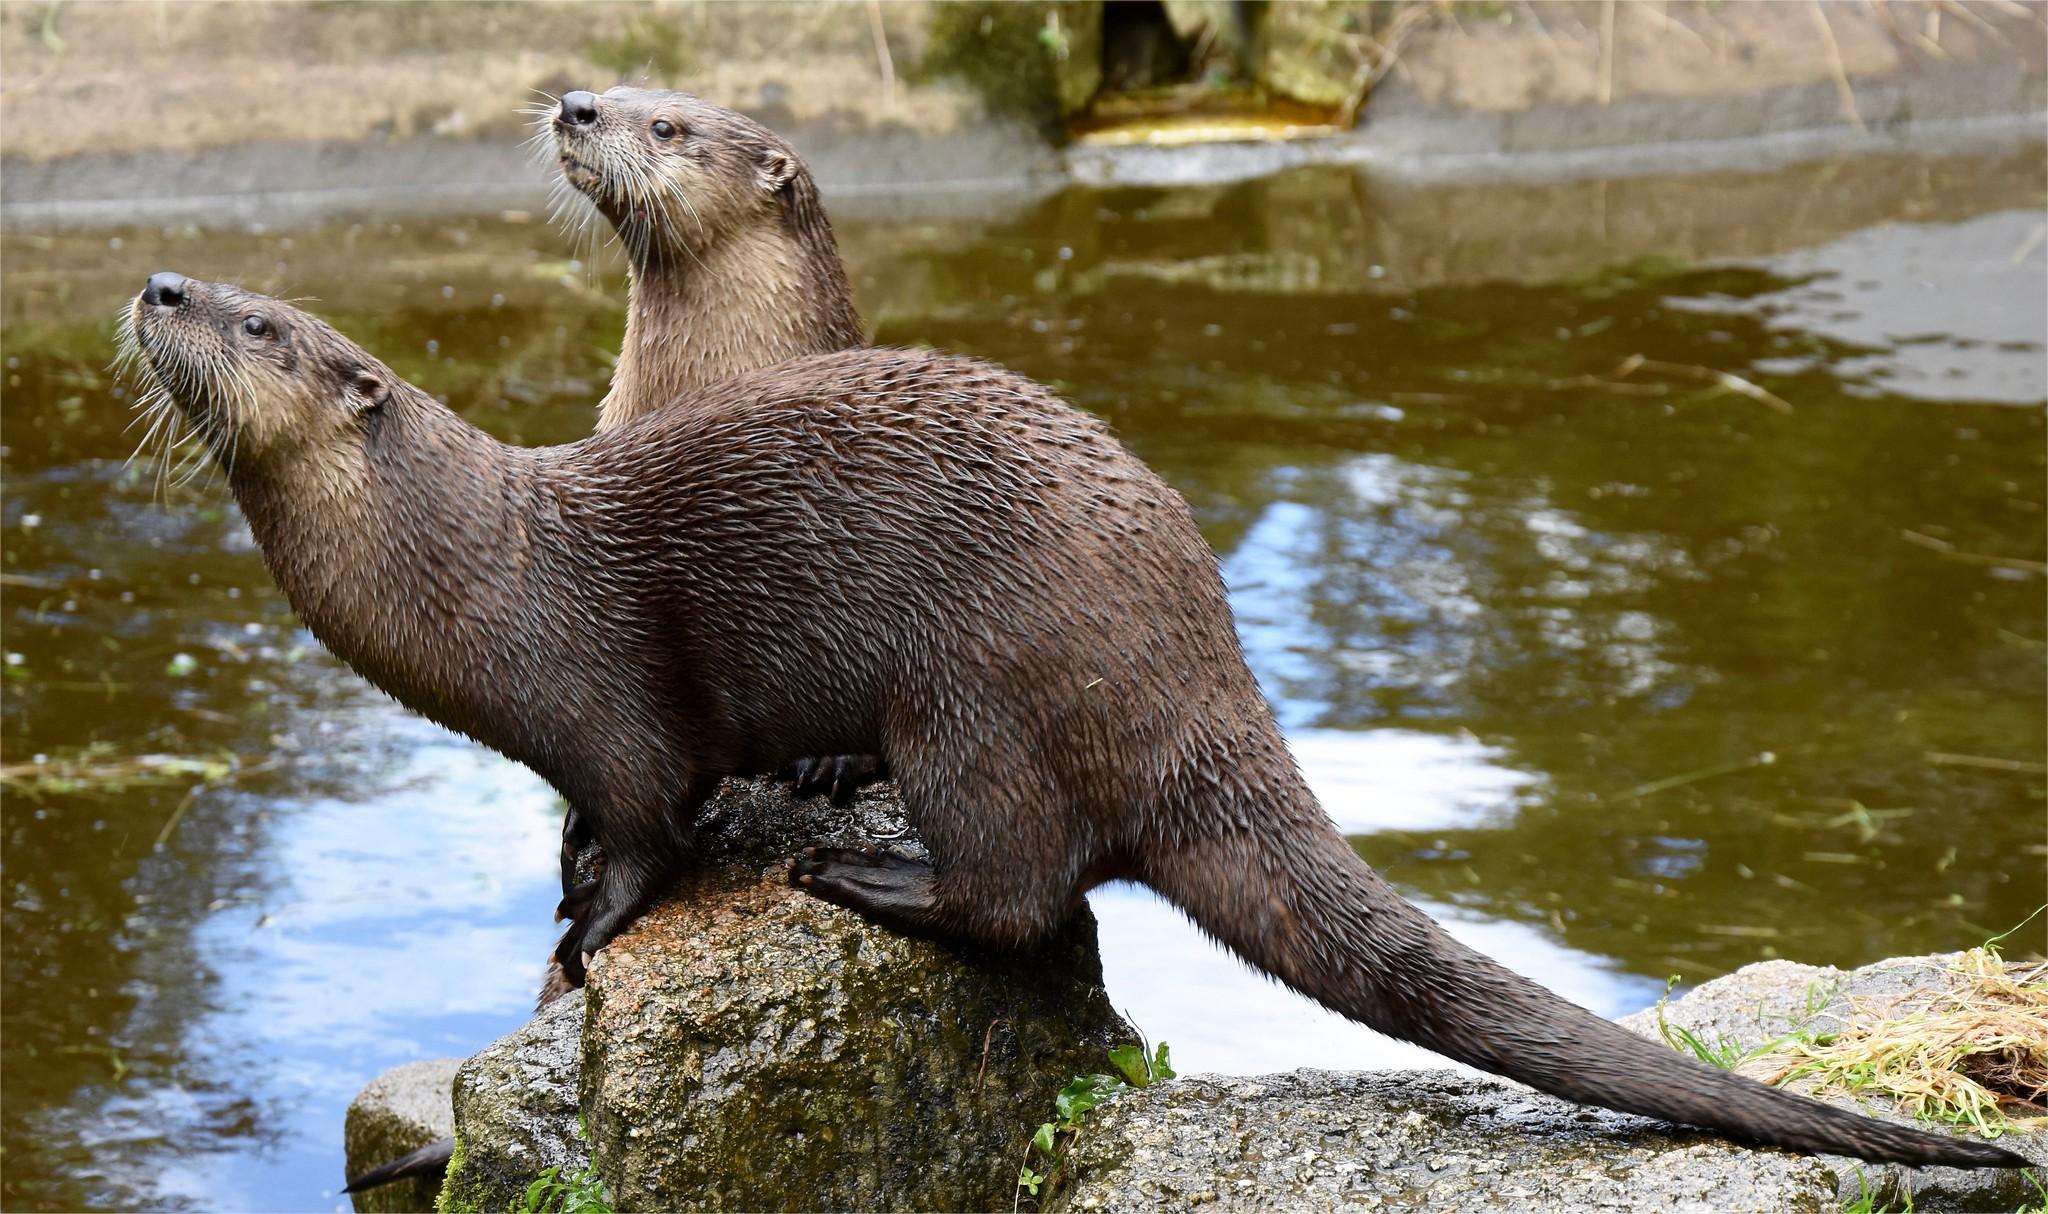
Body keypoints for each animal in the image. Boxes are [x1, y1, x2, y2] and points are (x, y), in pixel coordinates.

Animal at [124, 274, 2025, 1172]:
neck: (472, 568)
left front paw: (591, 929)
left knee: (1030, 892)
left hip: (972, 699)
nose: (155, 284)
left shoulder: (602, 698)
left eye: (263, 319)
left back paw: (869, 877)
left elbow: (653, 818)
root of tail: (1200, 678)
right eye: (213, 281)